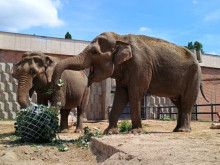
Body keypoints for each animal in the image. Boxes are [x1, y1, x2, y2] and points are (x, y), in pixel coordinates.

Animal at [51, 31, 208, 133]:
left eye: (94, 52)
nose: (58, 85)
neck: (121, 38)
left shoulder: (140, 65)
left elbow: (134, 93)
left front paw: (135, 131)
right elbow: (121, 96)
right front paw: (109, 132)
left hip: (193, 76)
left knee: (187, 101)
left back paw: (183, 130)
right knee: (179, 102)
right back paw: (177, 129)